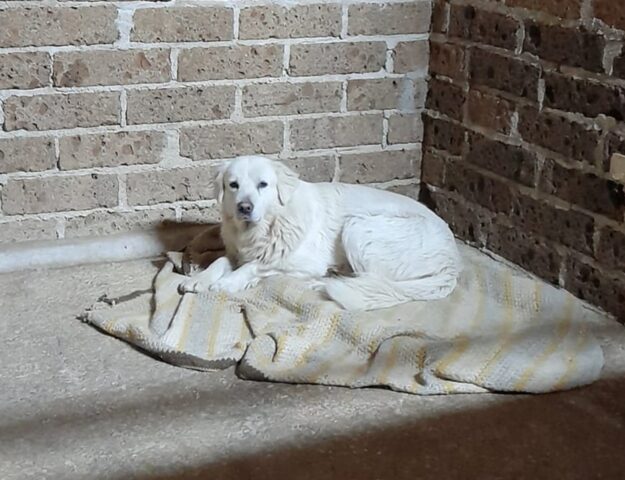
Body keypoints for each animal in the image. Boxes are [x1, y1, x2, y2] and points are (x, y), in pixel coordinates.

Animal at [178, 155, 460, 312]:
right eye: (233, 185)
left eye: (263, 184)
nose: (244, 208)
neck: (267, 225)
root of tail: (453, 261)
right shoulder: (237, 252)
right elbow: (221, 260)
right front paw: (199, 278)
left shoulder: (299, 261)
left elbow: (256, 265)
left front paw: (228, 282)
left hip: (358, 228)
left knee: (371, 280)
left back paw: (324, 282)